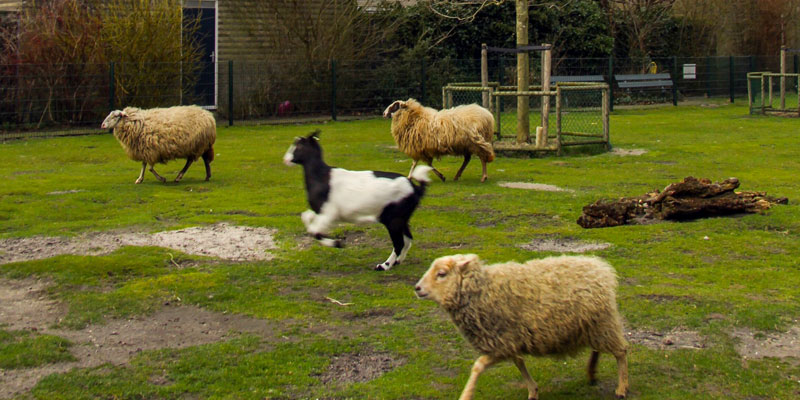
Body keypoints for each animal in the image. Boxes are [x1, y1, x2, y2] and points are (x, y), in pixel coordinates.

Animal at [282, 131, 432, 272]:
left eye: (299, 145)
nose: (286, 159)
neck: (321, 177)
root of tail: (415, 188)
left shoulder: (329, 213)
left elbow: (315, 232)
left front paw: (338, 243)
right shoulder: (320, 211)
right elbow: (306, 217)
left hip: (393, 220)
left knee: (399, 243)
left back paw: (384, 266)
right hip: (402, 218)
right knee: (408, 239)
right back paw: (397, 262)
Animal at [416, 255, 628, 398]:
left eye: (441, 274)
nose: (417, 288)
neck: (482, 290)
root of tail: (600, 267)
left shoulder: (500, 343)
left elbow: (478, 366)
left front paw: (465, 395)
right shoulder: (508, 341)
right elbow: (519, 362)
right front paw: (533, 390)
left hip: (603, 323)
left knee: (621, 351)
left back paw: (622, 388)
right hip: (592, 325)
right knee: (598, 349)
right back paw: (591, 373)